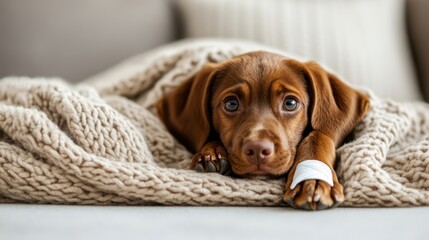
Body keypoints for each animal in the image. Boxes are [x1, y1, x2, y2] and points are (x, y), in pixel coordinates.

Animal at [156, 51, 368, 210]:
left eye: (290, 103)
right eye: (231, 104)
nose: (258, 150)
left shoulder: (324, 133)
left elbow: (319, 135)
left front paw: (313, 181)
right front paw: (211, 154)